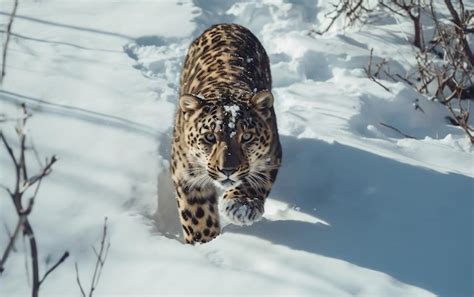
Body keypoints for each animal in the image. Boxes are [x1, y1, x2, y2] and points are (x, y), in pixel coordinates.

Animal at [170, 23, 282, 243]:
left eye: (246, 137)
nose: (228, 170)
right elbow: (198, 216)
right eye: (209, 137)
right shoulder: (186, 176)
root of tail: (228, 24)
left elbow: (255, 183)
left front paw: (241, 206)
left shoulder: (271, 158)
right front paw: (205, 242)